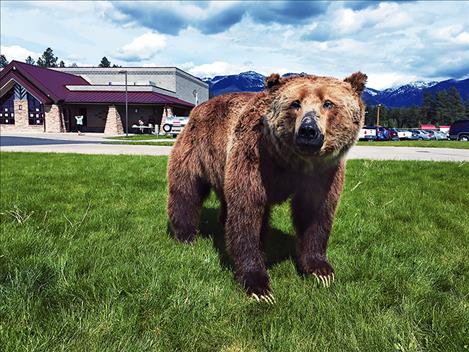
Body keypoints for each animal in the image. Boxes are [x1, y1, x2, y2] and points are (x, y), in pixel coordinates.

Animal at [166, 71, 368, 302]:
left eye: (328, 103)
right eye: (295, 103)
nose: (308, 130)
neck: (293, 161)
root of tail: (197, 109)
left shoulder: (323, 173)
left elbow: (316, 215)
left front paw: (321, 270)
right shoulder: (254, 160)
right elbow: (247, 214)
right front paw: (258, 285)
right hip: (196, 150)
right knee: (185, 191)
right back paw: (185, 236)